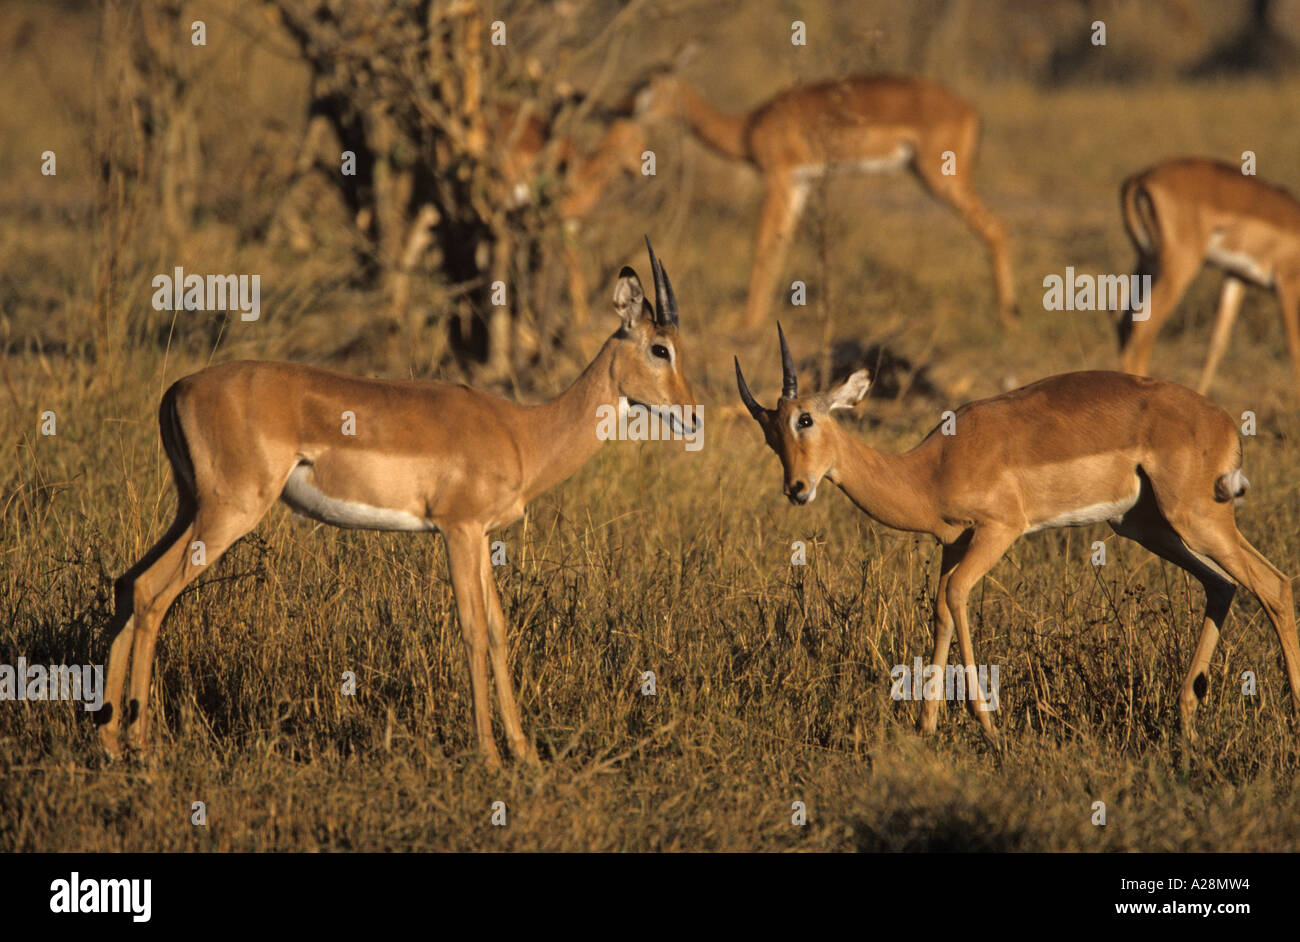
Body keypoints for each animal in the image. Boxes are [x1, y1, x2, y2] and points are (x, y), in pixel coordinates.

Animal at [101, 239, 702, 758]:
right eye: (659, 348)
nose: (692, 416)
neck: (523, 433)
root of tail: (177, 389)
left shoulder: (482, 537)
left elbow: (499, 630)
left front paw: (525, 753)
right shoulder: (458, 530)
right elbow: (471, 630)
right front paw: (488, 755)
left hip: (191, 508)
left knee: (127, 583)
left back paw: (108, 740)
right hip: (228, 513)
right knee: (153, 593)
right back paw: (141, 747)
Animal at [634, 72, 1019, 327]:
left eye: (645, 87)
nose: (621, 109)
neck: (749, 125)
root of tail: (973, 111)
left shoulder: (779, 178)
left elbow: (763, 243)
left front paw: (746, 326)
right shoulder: (800, 183)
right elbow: (780, 243)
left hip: (943, 177)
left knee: (995, 225)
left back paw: (1006, 319)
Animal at [738, 327, 1300, 738]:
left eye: (806, 420)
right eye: (769, 433)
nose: (797, 488)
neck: (930, 468)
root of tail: (1224, 422)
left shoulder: (998, 531)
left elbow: (957, 594)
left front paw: (986, 725)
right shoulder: (954, 543)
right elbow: (940, 608)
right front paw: (926, 726)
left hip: (1197, 520)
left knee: (1272, 585)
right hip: (1147, 527)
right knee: (1222, 585)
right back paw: (1185, 716)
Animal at [1118, 157, 1300, 405]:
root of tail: (1141, 177)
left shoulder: (1237, 276)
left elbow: (1217, 343)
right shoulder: (1288, 284)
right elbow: (1294, 345)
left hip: (1148, 263)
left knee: (1123, 321)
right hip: (1179, 267)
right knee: (1144, 325)